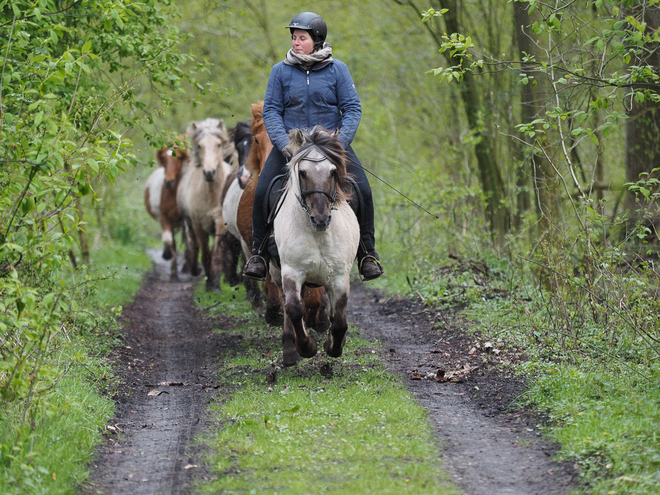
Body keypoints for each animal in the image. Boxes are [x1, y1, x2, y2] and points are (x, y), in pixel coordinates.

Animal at [270, 128, 360, 368]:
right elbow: (294, 309)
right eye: (302, 173)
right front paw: (307, 347)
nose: (321, 218)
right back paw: (290, 350)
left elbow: (339, 320)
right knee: (288, 305)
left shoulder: (338, 275)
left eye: (333, 171)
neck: (318, 234)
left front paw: (333, 347)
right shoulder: (291, 271)